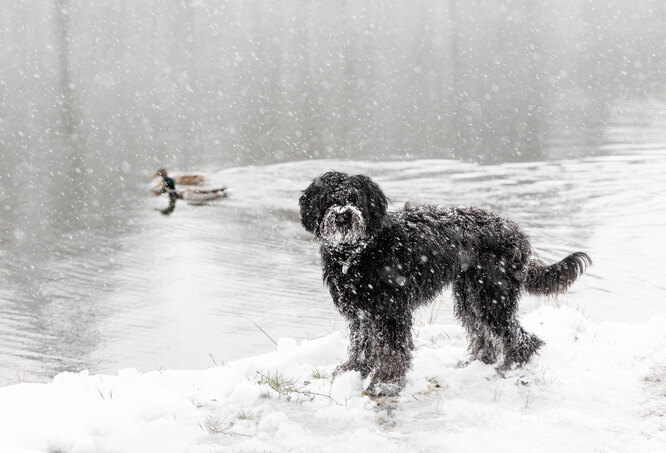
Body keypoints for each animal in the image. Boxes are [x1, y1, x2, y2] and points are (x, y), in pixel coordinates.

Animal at [298, 170, 588, 396]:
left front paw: (386, 384)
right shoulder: (361, 310)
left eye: (354, 199)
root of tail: (516, 231)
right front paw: (353, 370)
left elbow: (392, 350)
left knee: (520, 337)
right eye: (329, 200)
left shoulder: (391, 310)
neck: (358, 251)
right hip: (470, 295)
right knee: (483, 334)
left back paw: (509, 368)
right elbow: (362, 343)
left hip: (492, 294)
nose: (342, 216)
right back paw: (477, 363)